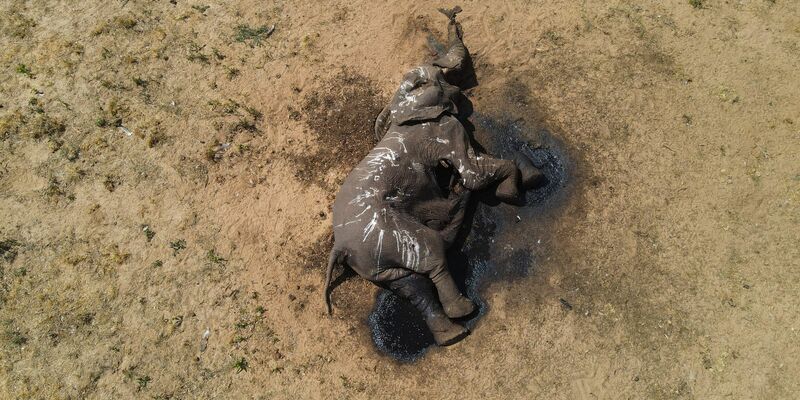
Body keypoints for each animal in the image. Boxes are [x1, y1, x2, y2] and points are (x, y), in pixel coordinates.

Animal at [324, 7, 544, 346]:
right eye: (436, 76)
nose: (453, 13)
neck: (399, 107)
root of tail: (342, 248)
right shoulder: (442, 130)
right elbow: (473, 172)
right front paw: (512, 191)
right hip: (389, 233)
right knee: (431, 252)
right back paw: (463, 313)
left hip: (374, 259)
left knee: (411, 284)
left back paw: (451, 334)